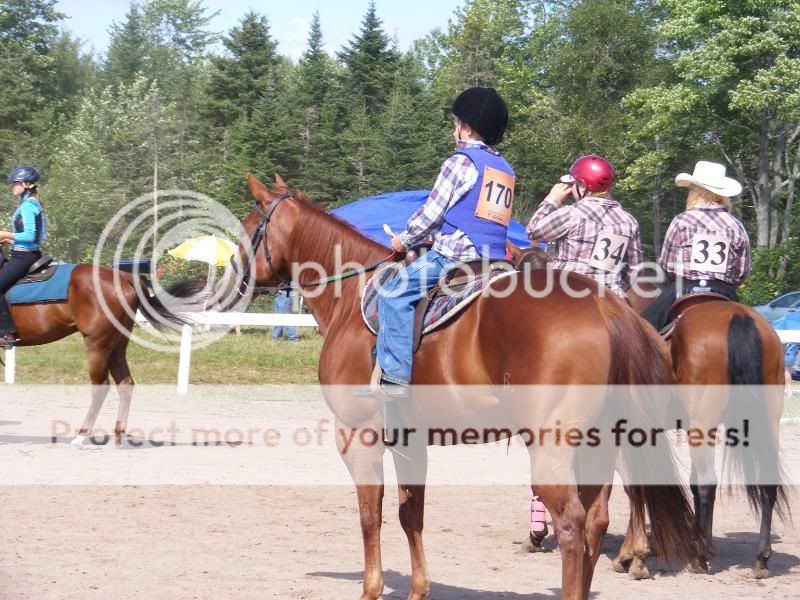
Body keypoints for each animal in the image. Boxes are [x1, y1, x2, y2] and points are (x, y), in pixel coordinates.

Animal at [5, 262, 183, 446]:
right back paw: (118, 435)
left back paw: (81, 435)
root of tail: (124, 276)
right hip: (116, 349)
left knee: (101, 388)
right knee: (125, 384)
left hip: (98, 347)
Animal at [211, 175, 700, 600]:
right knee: (597, 521)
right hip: (600, 443)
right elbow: (411, 515)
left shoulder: (357, 434)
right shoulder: (408, 441)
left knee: (572, 526)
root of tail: (605, 306)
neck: (353, 297)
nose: (228, 276)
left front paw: (371, 588)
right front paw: (418, 589)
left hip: (553, 448)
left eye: (249, 228)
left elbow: (371, 514)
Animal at [612, 284, 788, 580]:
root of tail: (739, 316)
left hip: (702, 424)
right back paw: (760, 559)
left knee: (707, 482)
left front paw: (631, 556)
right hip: (766, 421)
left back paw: (700, 558)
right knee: (764, 484)